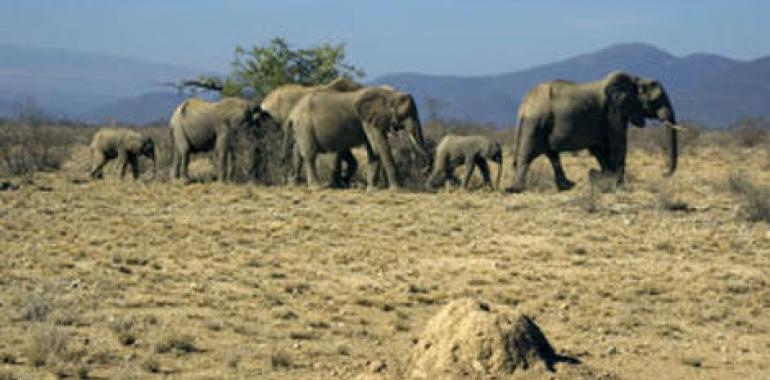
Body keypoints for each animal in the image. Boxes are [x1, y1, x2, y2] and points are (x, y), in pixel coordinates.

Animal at [284, 87, 426, 191]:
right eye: (404, 115)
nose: (424, 168)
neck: (389, 94)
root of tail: (292, 112)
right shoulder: (367, 121)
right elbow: (380, 146)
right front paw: (397, 189)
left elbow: (373, 150)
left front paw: (372, 189)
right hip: (305, 126)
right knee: (309, 154)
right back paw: (317, 187)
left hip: (299, 129)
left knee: (297, 153)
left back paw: (293, 185)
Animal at [504, 70, 680, 193]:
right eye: (655, 101)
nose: (664, 173)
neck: (636, 79)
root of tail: (524, 106)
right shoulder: (613, 112)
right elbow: (618, 143)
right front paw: (619, 185)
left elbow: (599, 148)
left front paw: (603, 179)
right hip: (536, 123)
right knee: (527, 155)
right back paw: (516, 189)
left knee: (552, 154)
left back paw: (568, 186)